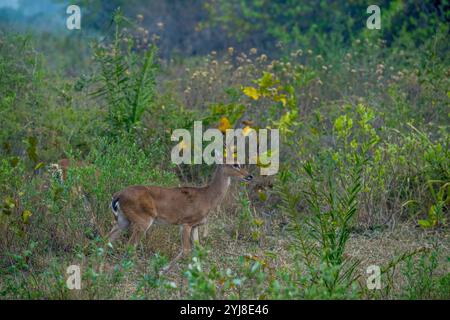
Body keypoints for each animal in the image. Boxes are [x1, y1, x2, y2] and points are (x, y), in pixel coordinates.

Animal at [106, 162, 253, 272]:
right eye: (235, 164)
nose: (249, 176)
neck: (207, 197)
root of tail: (118, 196)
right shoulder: (186, 223)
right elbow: (186, 250)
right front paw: (163, 270)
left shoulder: (195, 226)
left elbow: (199, 249)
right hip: (143, 221)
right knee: (130, 246)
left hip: (123, 221)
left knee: (107, 239)